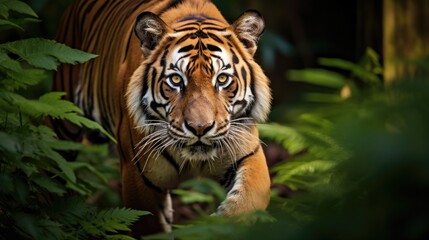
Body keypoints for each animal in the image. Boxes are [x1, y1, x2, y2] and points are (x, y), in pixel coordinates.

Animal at [49, 0, 270, 236]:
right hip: (62, 121)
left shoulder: (248, 153)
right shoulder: (137, 175)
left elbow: (246, 204)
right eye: (176, 80)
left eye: (222, 79)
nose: (199, 128)